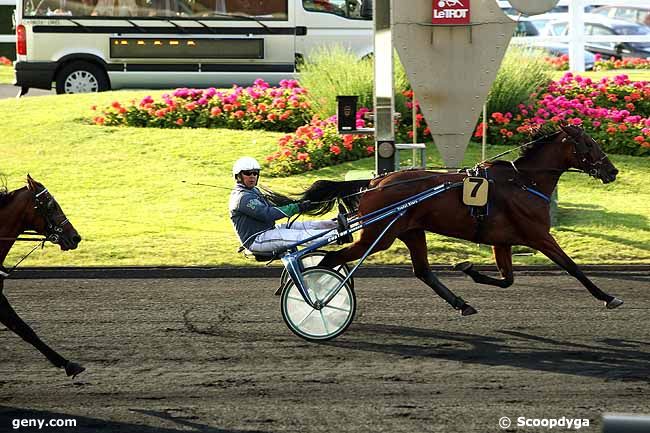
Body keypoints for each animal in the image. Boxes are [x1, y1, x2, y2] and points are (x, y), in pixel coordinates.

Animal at [302, 123, 620, 316]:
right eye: (589, 144)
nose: (612, 171)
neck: (524, 181)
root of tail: (374, 183)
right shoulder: (539, 235)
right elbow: (572, 267)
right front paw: (608, 296)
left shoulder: (502, 242)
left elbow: (507, 280)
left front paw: (468, 268)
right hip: (378, 236)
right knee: (330, 259)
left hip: (411, 231)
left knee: (423, 272)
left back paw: (461, 303)